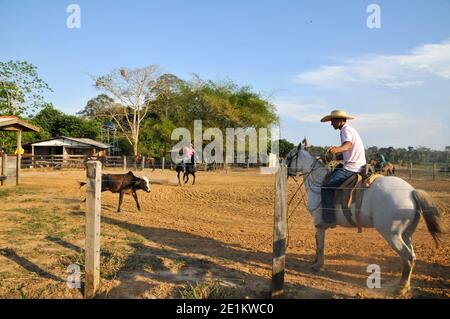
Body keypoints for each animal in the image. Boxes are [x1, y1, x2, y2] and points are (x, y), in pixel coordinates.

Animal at [284, 141, 442, 296]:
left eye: (288, 157)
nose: (283, 171)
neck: (318, 181)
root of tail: (412, 192)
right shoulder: (319, 225)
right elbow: (318, 242)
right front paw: (315, 261)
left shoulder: (319, 224)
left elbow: (320, 244)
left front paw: (318, 265)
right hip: (406, 234)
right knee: (413, 256)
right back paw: (406, 286)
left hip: (392, 235)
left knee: (407, 257)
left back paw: (401, 288)